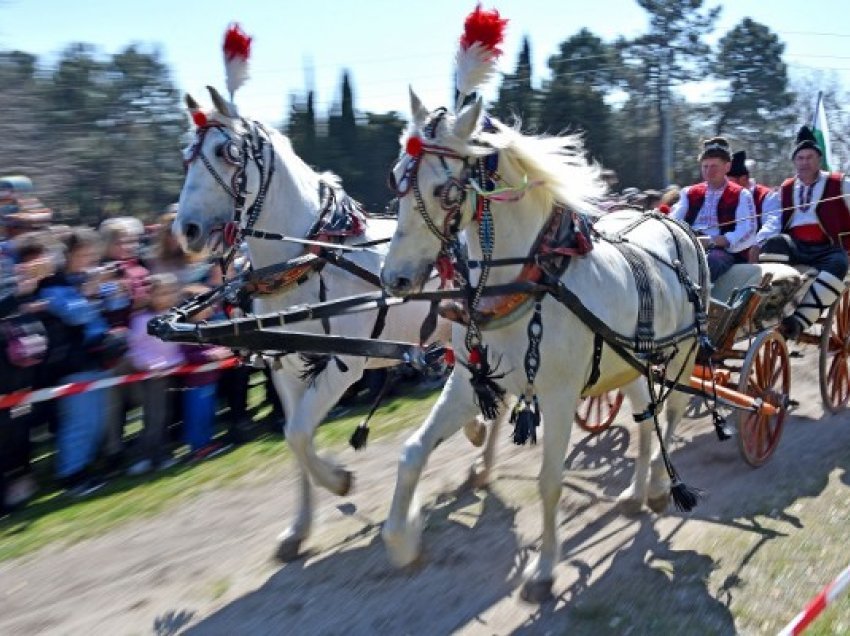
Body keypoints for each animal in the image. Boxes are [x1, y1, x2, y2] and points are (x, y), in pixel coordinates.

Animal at [172, 87, 480, 560]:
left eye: (227, 153)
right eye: (187, 155)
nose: (185, 229)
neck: (307, 260)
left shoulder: (343, 364)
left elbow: (300, 433)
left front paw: (339, 480)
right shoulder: (284, 366)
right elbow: (293, 439)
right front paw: (299, 529)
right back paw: (478, 441)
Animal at [380, 90, 708, 600]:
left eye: (444, 191)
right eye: (396, 178)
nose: (392, 277)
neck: (531, 279)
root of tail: (671, 222)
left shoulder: (558, 396)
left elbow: (549, 480)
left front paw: (544, 569)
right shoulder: (468, 381)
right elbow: (413, 451)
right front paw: (401, 539)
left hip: (681, 357)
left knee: (669, 416)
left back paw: (658, 485)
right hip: (627, 363)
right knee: (643, 418)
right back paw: (635, 493)